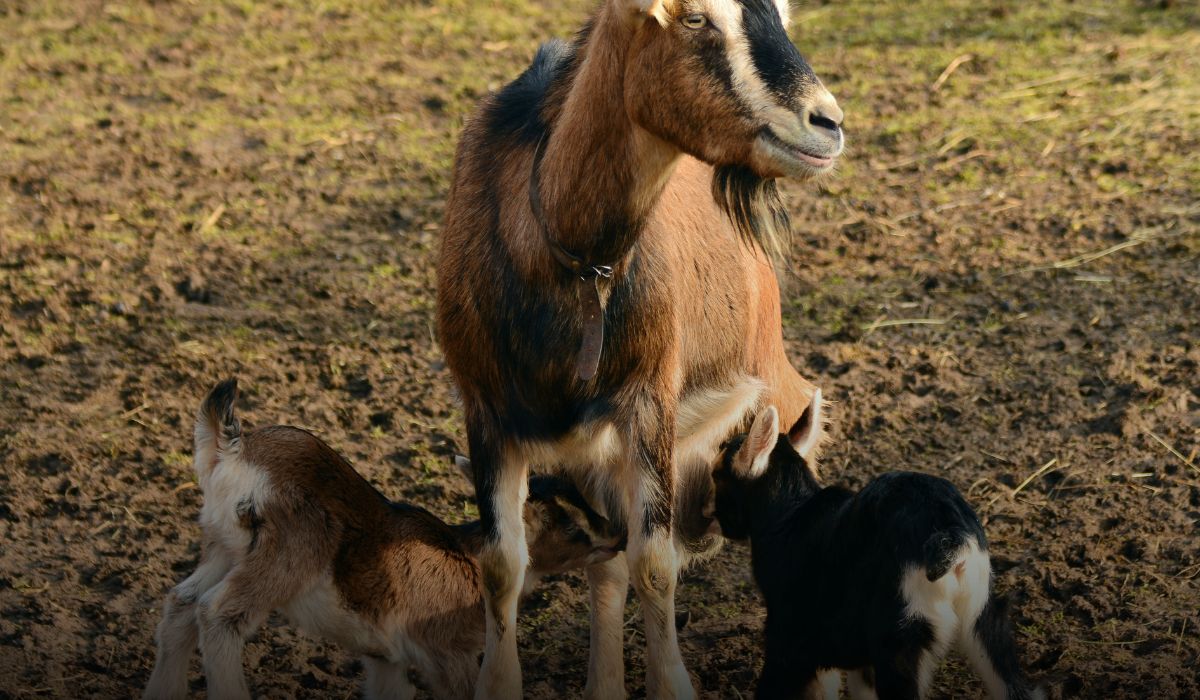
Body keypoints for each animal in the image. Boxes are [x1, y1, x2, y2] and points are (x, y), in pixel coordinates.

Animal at [436, 2, 840, 696]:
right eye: (696, 19)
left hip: (769, 380)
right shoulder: (486, 413)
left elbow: (654, 563)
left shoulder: (649, 400)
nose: (828, 123)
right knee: (608, 563)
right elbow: (504, 566)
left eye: (782, 15)